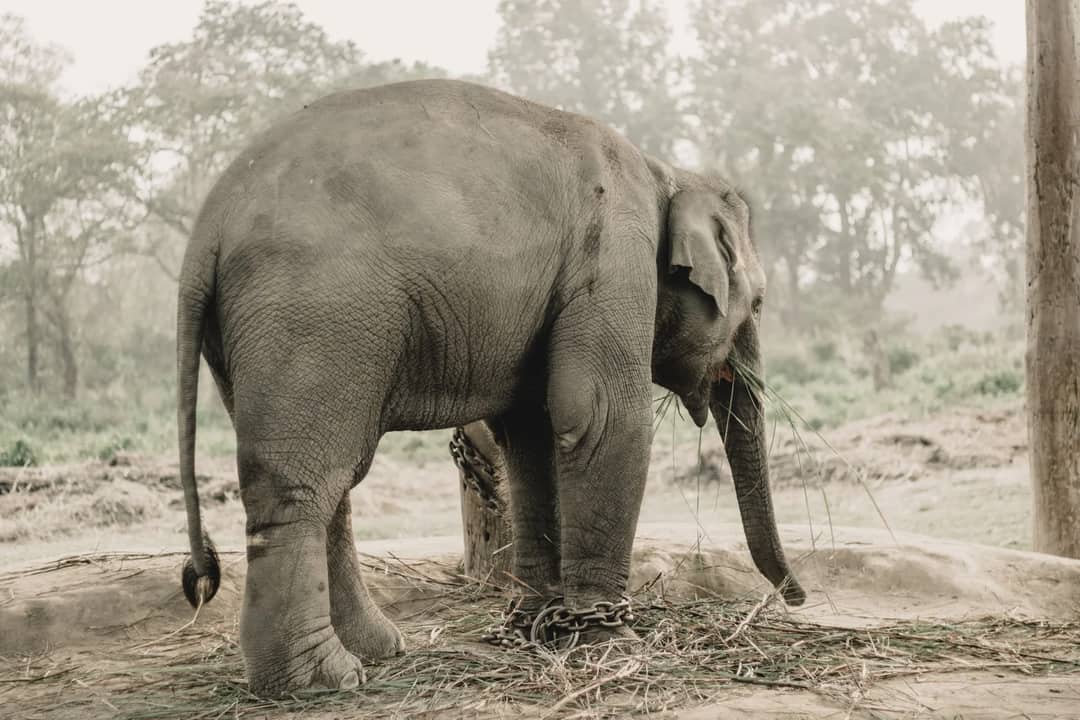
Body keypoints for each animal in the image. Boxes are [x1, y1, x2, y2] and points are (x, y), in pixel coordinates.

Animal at [176, 78, 805, 696]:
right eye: (758, 303)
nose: (795, 598)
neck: (666, 172)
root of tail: (208, 225)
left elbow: (531, 432)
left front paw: (535, 626)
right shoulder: (614, 255)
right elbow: (602, 418)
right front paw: (611, 643)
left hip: (258, 337)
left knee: (331, 480)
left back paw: (376, 651)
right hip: (315, 313)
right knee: (301, 484)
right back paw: (319, 681)